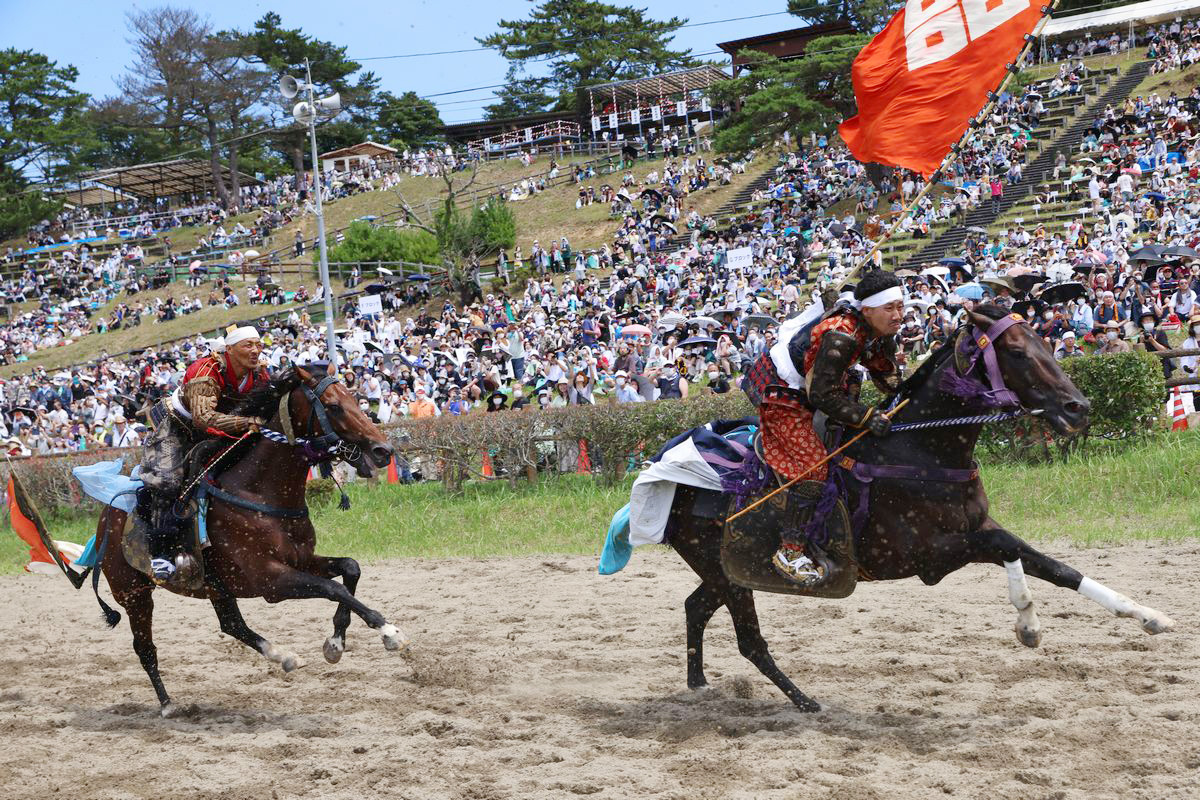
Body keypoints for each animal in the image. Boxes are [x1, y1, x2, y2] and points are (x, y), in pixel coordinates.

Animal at [81, 367, 408, 714]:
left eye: (356, 399)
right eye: (334, 406)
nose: (383, 450)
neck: (258, 493)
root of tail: (103, 521)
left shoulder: (302, 560)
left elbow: (350, 568)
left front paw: (335, 643)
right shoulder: (271, 581)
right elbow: (334, 589)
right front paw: (389, 632)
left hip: (216, 586)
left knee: (231, 625)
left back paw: (284, 656)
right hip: (135, 595)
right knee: (145, 648)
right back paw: (167, 704)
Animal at [672, 307, 1176, 714]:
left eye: (1045, 341)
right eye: (1016, 351)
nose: (1078, 408)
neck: (917, 448)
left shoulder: (975, 527)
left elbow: (1053, 565)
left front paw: (1148, 615)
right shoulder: (926, 555)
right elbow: (1006, 549)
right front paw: (1029, 623)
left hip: (725, 570)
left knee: (696, 606)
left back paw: (699, 684)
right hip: (729, 572)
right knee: (749, 641)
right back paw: (804, 701)